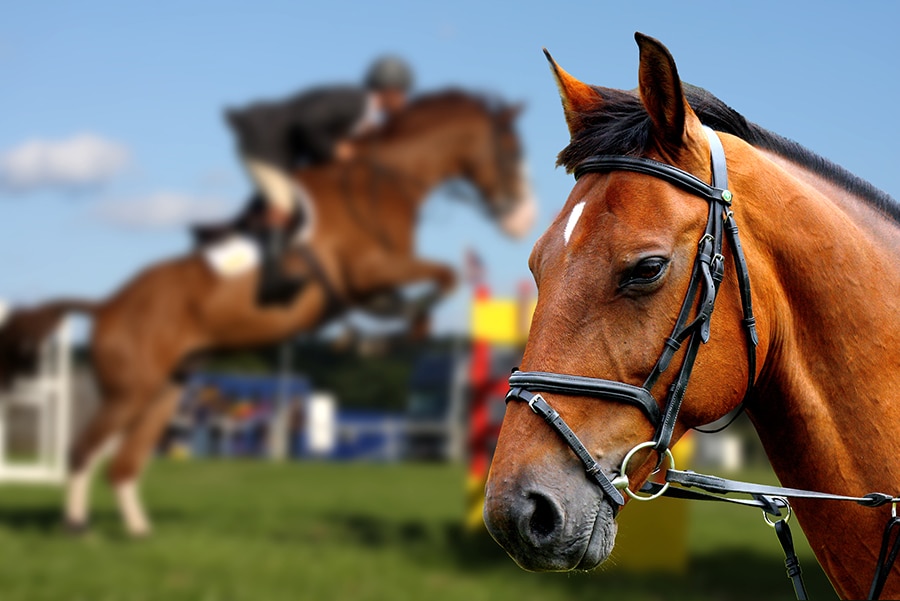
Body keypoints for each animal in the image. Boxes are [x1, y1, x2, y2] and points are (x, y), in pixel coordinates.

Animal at [0, 89, 535, 537]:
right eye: (511, 150)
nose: (522, 219)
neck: (384, 181)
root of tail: (107, 304)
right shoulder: (367, 270)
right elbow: (445, 275)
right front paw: (370, 339)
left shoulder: (368, 283)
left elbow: (429, 291)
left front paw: (374, 334)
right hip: (131, 389)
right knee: (83, 452)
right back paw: (77, 527)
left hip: (164, 389)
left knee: (123, 464)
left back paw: (137, 531)